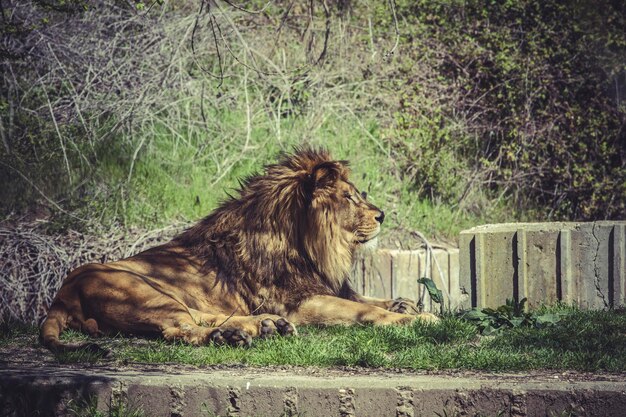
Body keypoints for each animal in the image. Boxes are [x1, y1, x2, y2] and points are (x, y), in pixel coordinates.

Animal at [41, 147, 436, 352]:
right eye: (350, 197)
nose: (382, 215)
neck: (306, 247)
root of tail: (61, 295)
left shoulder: (322, 287)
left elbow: (366, 298)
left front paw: (405, 304)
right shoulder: (300, 303)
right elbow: (364, 311)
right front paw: (419, 318)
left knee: (199, 317)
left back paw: (259, 327)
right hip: (145, 292)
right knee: (180, 328)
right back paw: (241, 333)